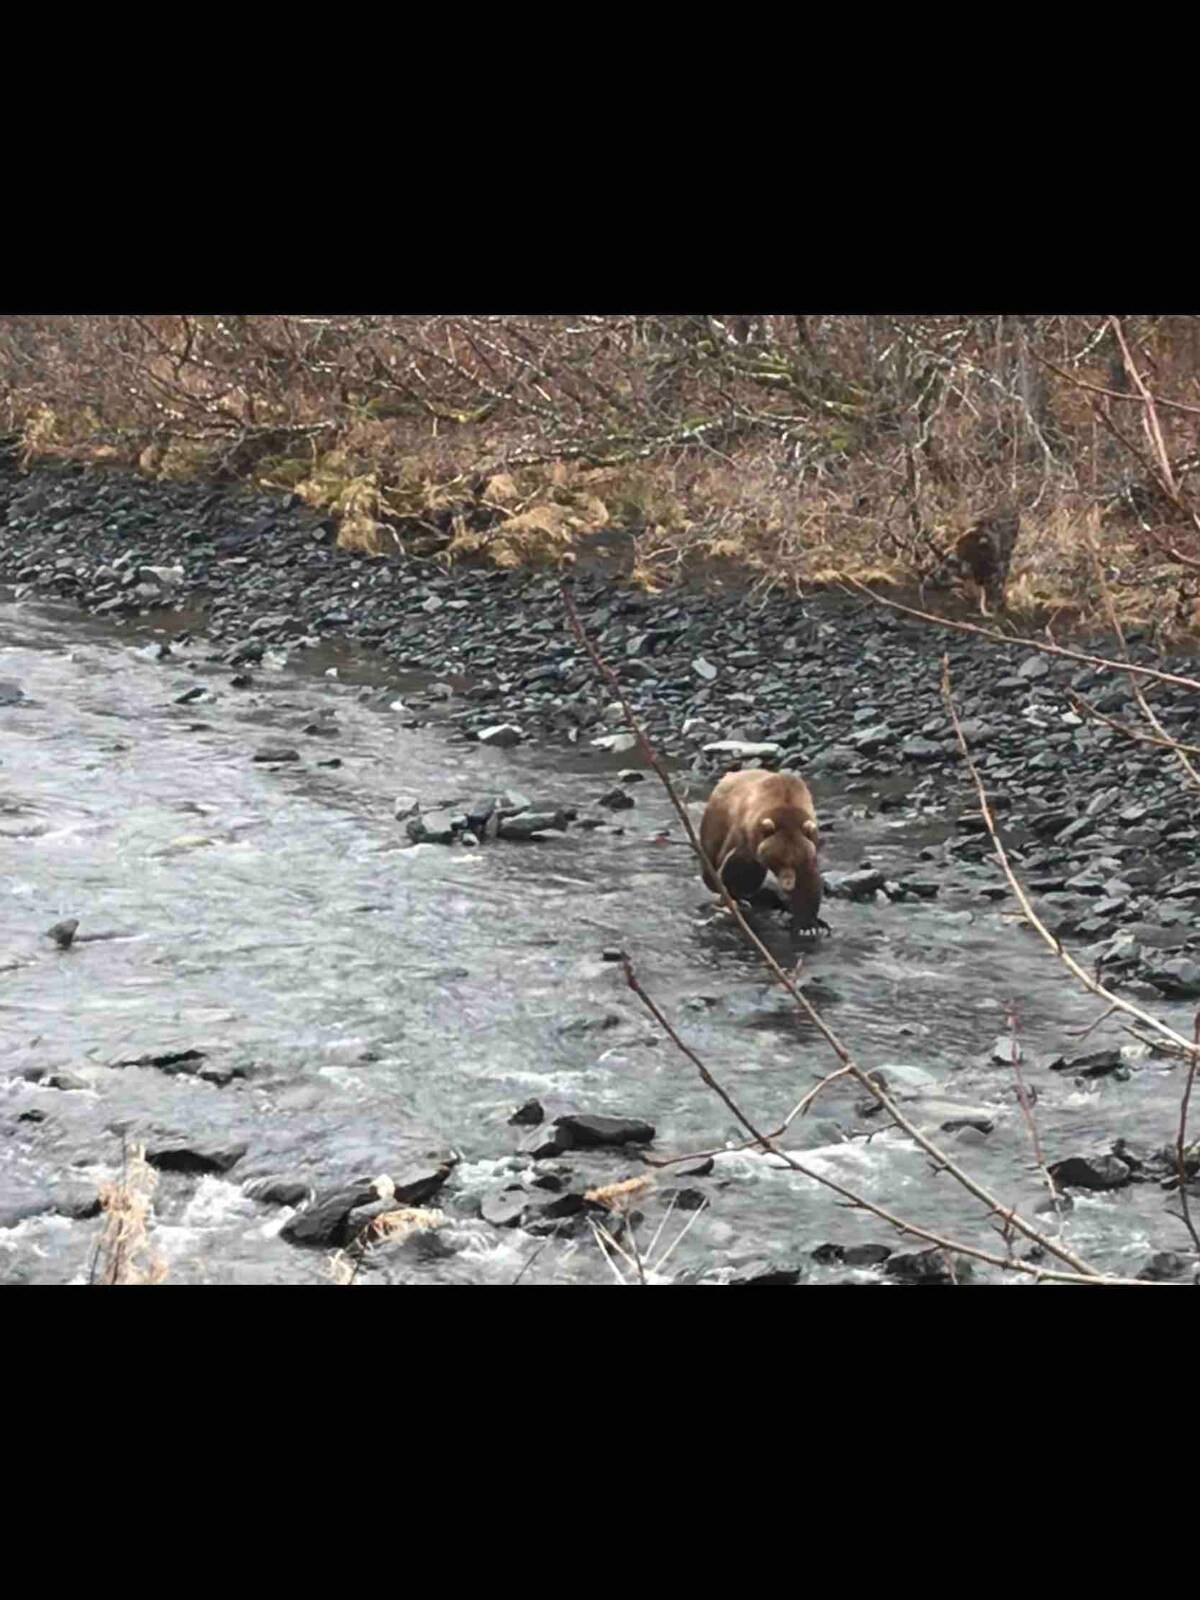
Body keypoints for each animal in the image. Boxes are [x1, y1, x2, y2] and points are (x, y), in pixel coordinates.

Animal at [694, 764, 825, 934]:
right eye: (778, 859)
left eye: (795, 860)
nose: (788, 884)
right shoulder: (745, 836)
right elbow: (739, 869)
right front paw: (735, 893)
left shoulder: (808, 847)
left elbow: (808, 882)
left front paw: (807, 926)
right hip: (716, 819)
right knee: (711, 853)